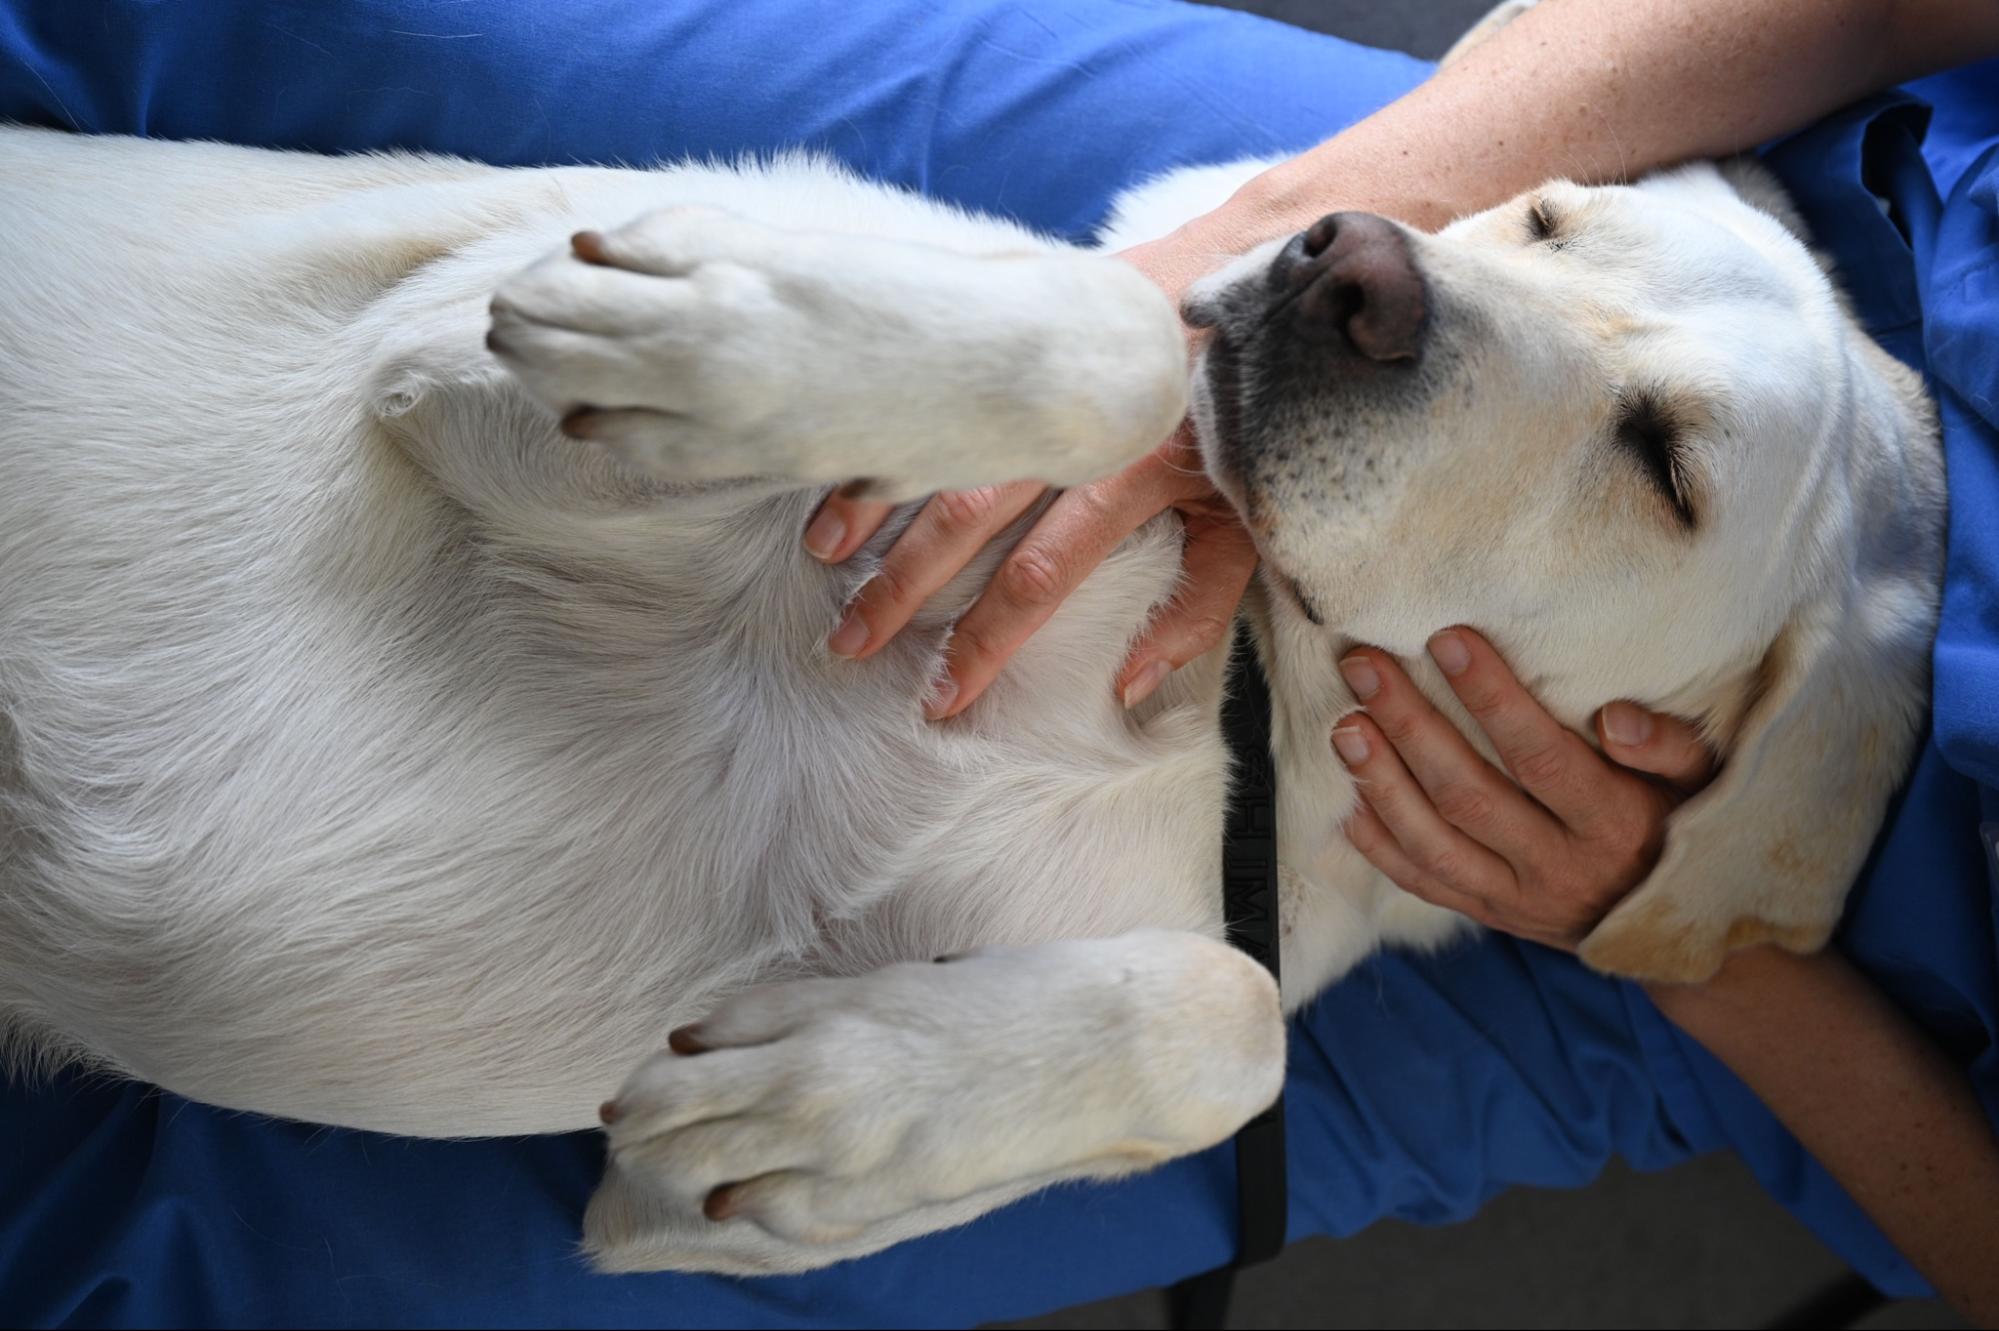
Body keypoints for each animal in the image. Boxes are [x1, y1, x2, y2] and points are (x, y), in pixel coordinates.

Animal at [0, 15, 1935, 1279]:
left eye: (1664, 466)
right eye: (1541, 213)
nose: (1343, 269)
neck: (1230, 694)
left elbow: (1236, 1020)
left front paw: (823, 1115)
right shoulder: (451, 338)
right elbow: (1114, 342)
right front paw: (733, 340)